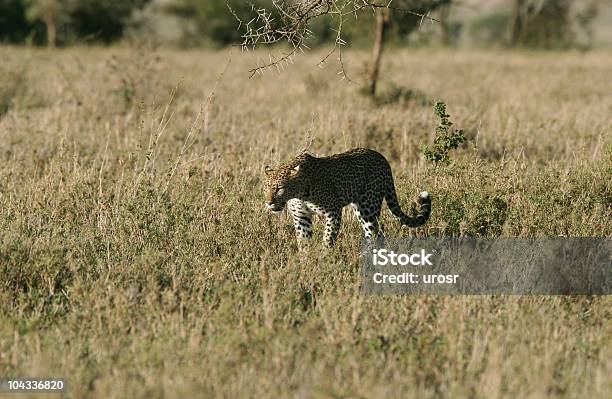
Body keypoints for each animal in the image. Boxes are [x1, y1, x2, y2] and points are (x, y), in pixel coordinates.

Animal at [262, 148, 430, 247]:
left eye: (279, 188)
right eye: (266, 188)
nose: (269, 203)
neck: (299, 193)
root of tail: (382, 157)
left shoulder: (333, 211)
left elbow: (328, 237)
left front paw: (325, 257)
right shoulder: (301, 217)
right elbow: (303, 243)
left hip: (368, 207)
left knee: (374, 232)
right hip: (360, 208)